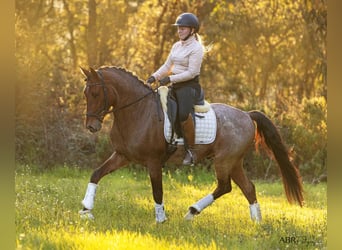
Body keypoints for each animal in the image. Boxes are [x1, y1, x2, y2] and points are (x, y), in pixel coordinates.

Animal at [79, 66, 304, 223]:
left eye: (96, 94)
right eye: (85, 93)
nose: (91, 126)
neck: (138, 111)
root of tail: (247, 115)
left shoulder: (153, 162)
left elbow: (157, 191)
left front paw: (161, 220)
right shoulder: (122, 155)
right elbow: (96, 174)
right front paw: (86, 210)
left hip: (224, 160)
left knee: (225, 186)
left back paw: (191, 212)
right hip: (234, 162)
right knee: (248, 188)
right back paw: (256, 222)